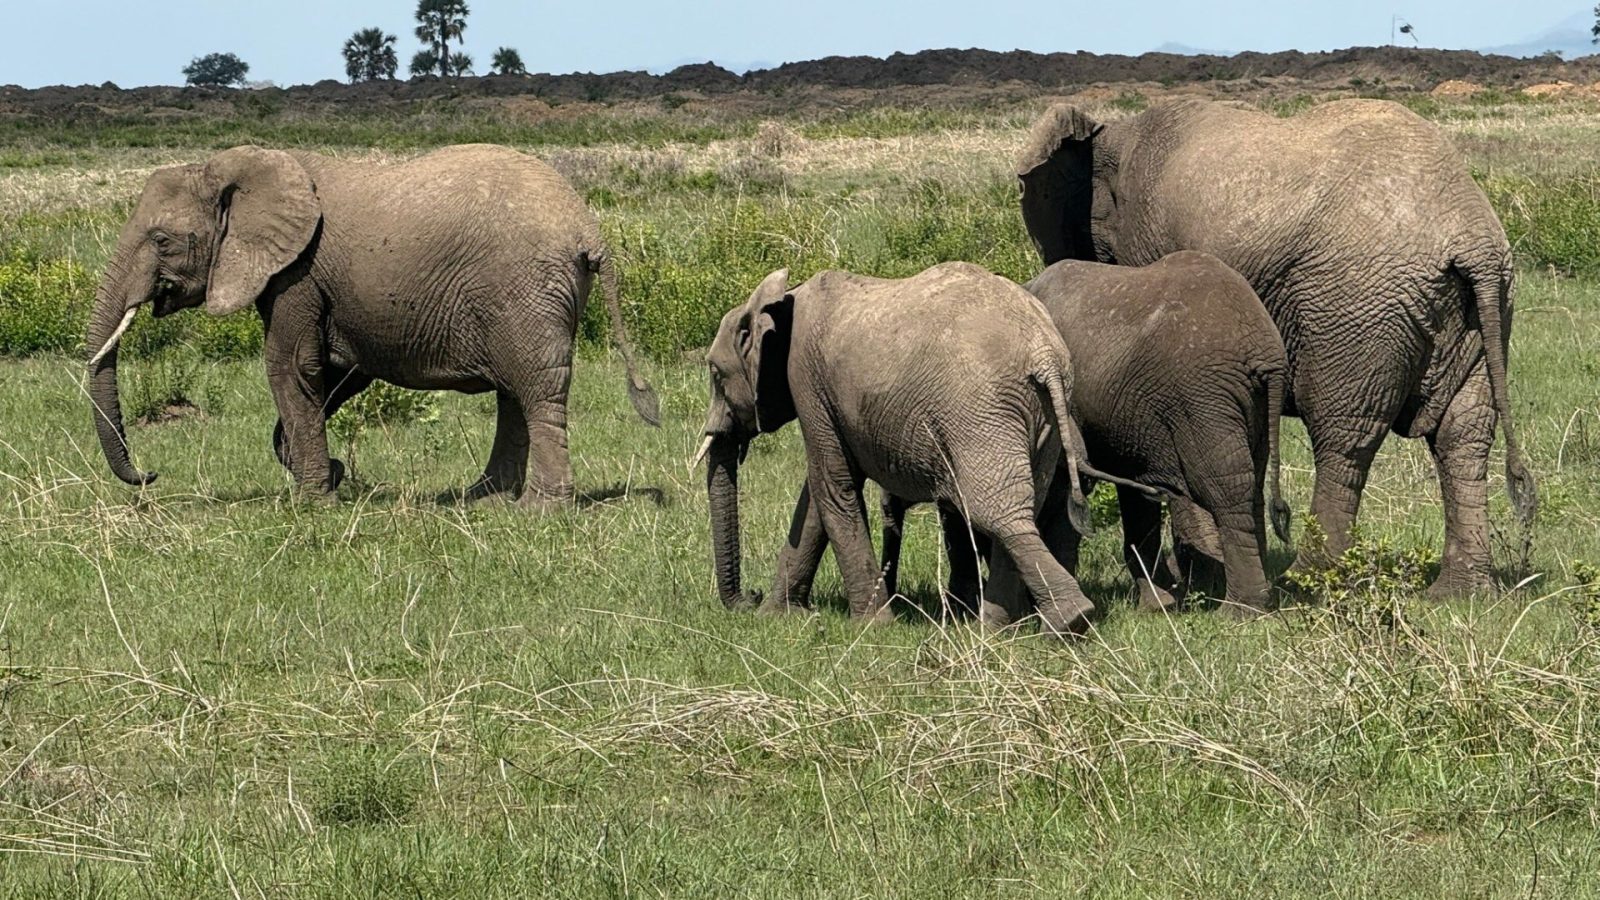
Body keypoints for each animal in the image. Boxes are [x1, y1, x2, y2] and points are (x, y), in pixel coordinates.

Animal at [85, 144, 658, 507]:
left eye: (161, 240)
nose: (150, 475)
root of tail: (588, 229)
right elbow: (337, 372)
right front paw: (325, 477)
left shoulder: (298, 271)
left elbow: (291, 367)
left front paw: (312, 503)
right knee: (514, 394)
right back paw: (484, 501)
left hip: (526, 289)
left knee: (537, 391)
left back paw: (538, 511)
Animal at [696, 262, 1157, 637]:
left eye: (716, 374)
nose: (749, 597)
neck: (782, 300)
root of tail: (1043, 352)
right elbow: (815, 501)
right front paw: (778, 617)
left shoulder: (807, 379)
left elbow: (833, 487)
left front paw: (872, 627)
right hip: (1038, 418)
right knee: (1023, 505)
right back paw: (1000, 628)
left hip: (978, 409)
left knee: (996, 510)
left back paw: (1062, 622)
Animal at [1016, 98, 1536, 596]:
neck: (1114, 132)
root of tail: (1472, 236)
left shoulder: (1145, 237)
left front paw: (1204, 582)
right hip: (1485, 307)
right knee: (1463, 434)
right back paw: (1458, 593)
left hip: (1355, 309)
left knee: (1344, 434)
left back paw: (1305, 581)